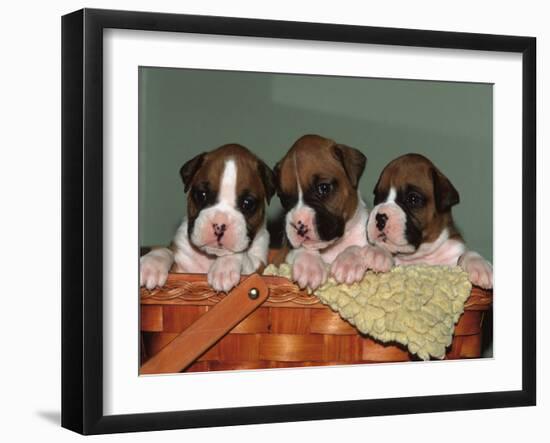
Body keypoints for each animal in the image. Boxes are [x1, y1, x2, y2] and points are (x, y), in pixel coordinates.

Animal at [139, 144, 274, 294]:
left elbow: (240, 255)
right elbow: (165, 250)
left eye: (248, 203)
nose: (219, 225)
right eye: (201, 195)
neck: (211, 256)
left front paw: (224, 268)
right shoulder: (180, 265)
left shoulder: (258, 266)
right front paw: (151, 264)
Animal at [276, 135, 392, 292]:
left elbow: (355, 246)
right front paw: (309, 265)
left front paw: (351, 261)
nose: (299, 225)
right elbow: (302, 249)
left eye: (323, 188)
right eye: (284, 198)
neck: (334, 246)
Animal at [362, 154, 496, 290]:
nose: (380, 217)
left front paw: (480, 265)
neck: (422, 253)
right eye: (378, 197)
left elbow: (467, 254)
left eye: (413, 199)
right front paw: (378, 253)